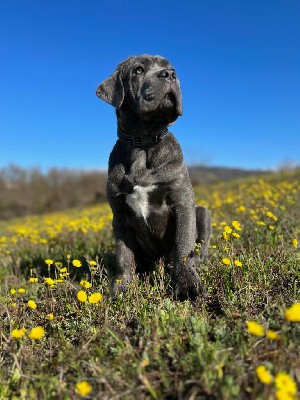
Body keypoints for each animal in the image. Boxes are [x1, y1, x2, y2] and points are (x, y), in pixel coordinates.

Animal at [96, 55, 211, 300]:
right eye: (138, 70)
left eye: (171, 68)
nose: (169, 74)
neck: (144, 142)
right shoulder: (119, 215)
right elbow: (124, 255)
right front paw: (122, 288)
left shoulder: (182, 202)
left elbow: (183, 246)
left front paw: (187, 286)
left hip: (203, 213)